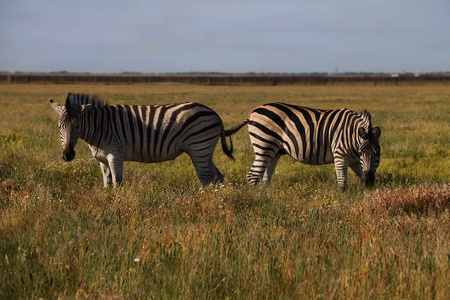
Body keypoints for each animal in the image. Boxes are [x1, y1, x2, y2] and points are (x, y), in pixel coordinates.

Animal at [49, 92, 234, 186]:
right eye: (59, 127)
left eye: (77, 126)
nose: (67, 155)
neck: (101, 126)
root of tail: (213, 113)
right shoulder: (102, 160)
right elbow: (107, 183)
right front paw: (108, 202)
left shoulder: (115, 155)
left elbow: (117, 183)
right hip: (205, 151)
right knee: (217, 177)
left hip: (198, 149)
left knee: (207, 179)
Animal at [225, 102, 380, 188]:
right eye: (362, 153)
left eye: (377, 154)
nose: (370, 182)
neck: (352, 137)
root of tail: (252, 113)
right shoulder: (340, 155)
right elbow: (342, 182)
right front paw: (342, 200)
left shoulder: (355, 161)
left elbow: (360, 174)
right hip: (264, 145)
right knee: (252, 176)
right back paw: (257, 199)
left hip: (273, 151)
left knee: (264, 177)